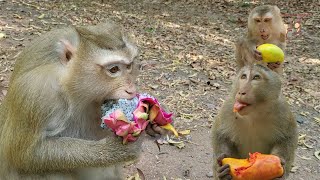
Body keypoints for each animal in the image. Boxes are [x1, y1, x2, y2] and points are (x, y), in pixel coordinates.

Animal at [0, 21, 142, 179]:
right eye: (113, 69)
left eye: (129, 66)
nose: (131, 90)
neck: (69, 86)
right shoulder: (35, 94)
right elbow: (25, 155)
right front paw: (114, 150)